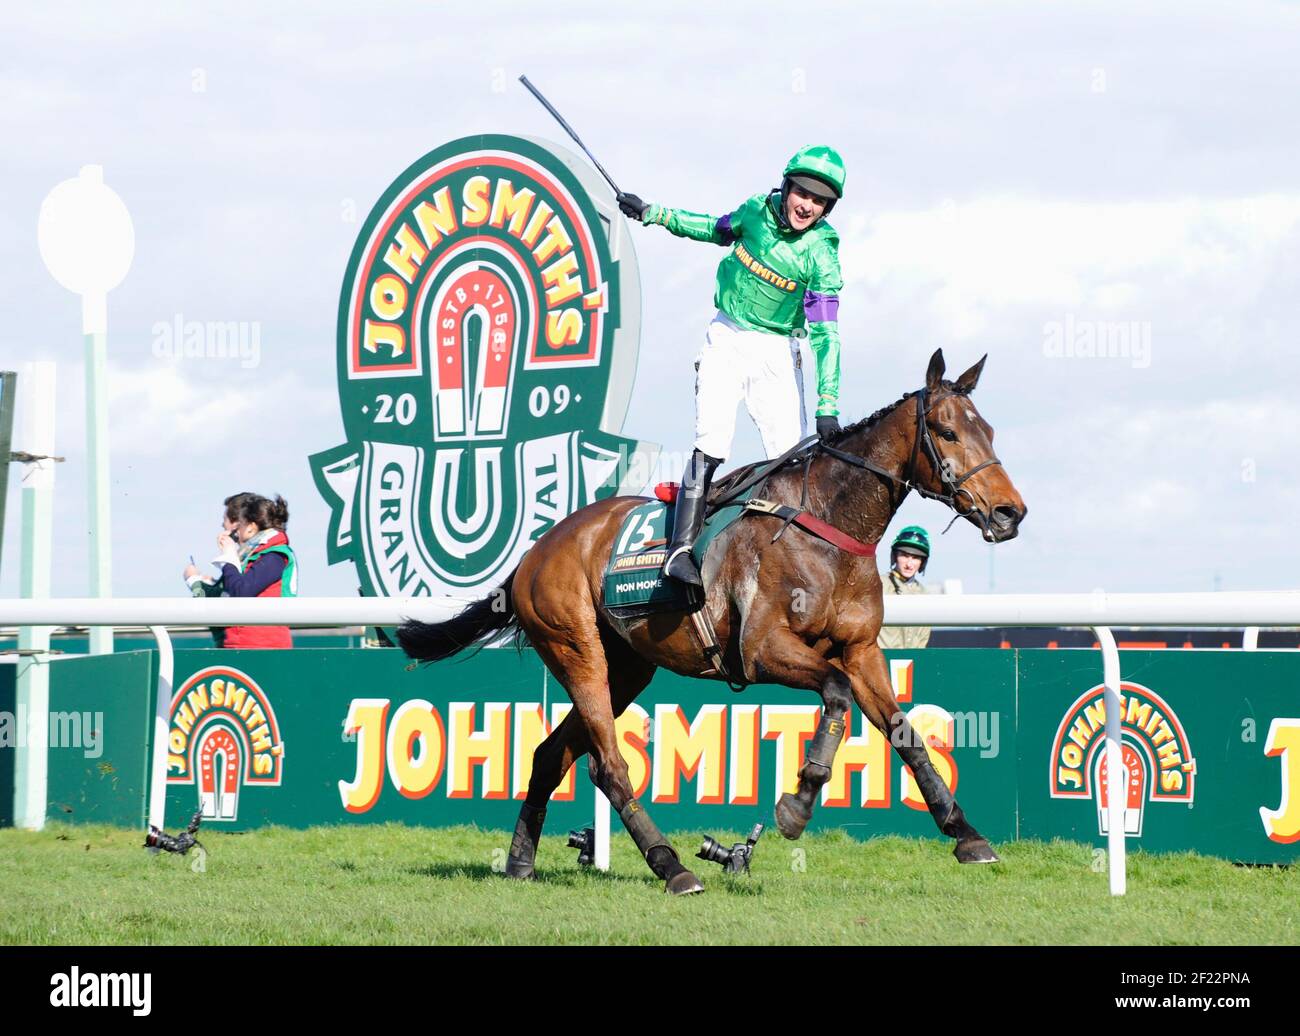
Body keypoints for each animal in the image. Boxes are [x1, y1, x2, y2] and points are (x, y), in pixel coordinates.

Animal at [395, 348, 1024, 889]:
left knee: (552, 756)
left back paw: (521, 862)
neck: (826, 525)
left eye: (990, 431)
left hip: (626, 668)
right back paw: (670, 865)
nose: (1009, 512)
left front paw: (966, 835)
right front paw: (798, 801)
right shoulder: (764, 649)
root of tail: (534, 551)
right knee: (608, 766)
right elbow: (836, 693)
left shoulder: (863, 650)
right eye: (946, 431)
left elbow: (904, 733)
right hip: (577, 651)